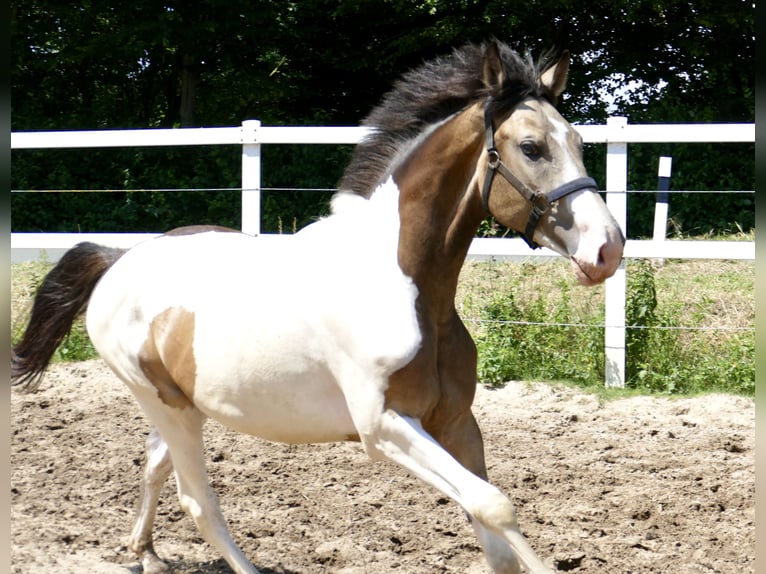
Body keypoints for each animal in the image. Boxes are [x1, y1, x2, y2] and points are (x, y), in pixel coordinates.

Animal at [12, 40, 624, 574]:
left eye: (580, 142)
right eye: (531, 147)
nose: (607, 249)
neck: (404, 286)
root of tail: (119, 257)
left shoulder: (454, 421)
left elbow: (492, 528)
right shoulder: (384, 428)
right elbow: (495, 504)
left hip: (184, 405)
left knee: (155, 463)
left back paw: (146, 554)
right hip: (162, 402)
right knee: (198, 501)